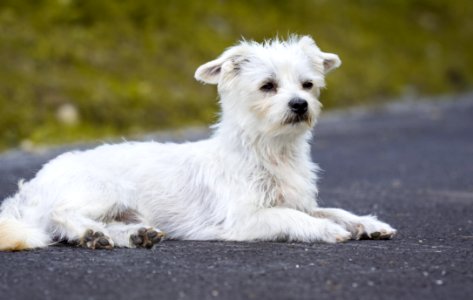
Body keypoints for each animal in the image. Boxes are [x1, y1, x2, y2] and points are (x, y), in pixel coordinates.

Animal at [0, 35, 394, 251]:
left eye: (308, 85)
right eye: (268, 86)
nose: (300, 105)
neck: (269, 151)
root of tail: (30, 188)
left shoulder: (298, 201)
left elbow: (333, 209)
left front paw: (365, 223)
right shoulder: (245, 219)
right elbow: (291, 217)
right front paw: (327, 230)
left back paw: (129, 236)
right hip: (102, 190)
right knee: (60, 214)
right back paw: (90, 233)